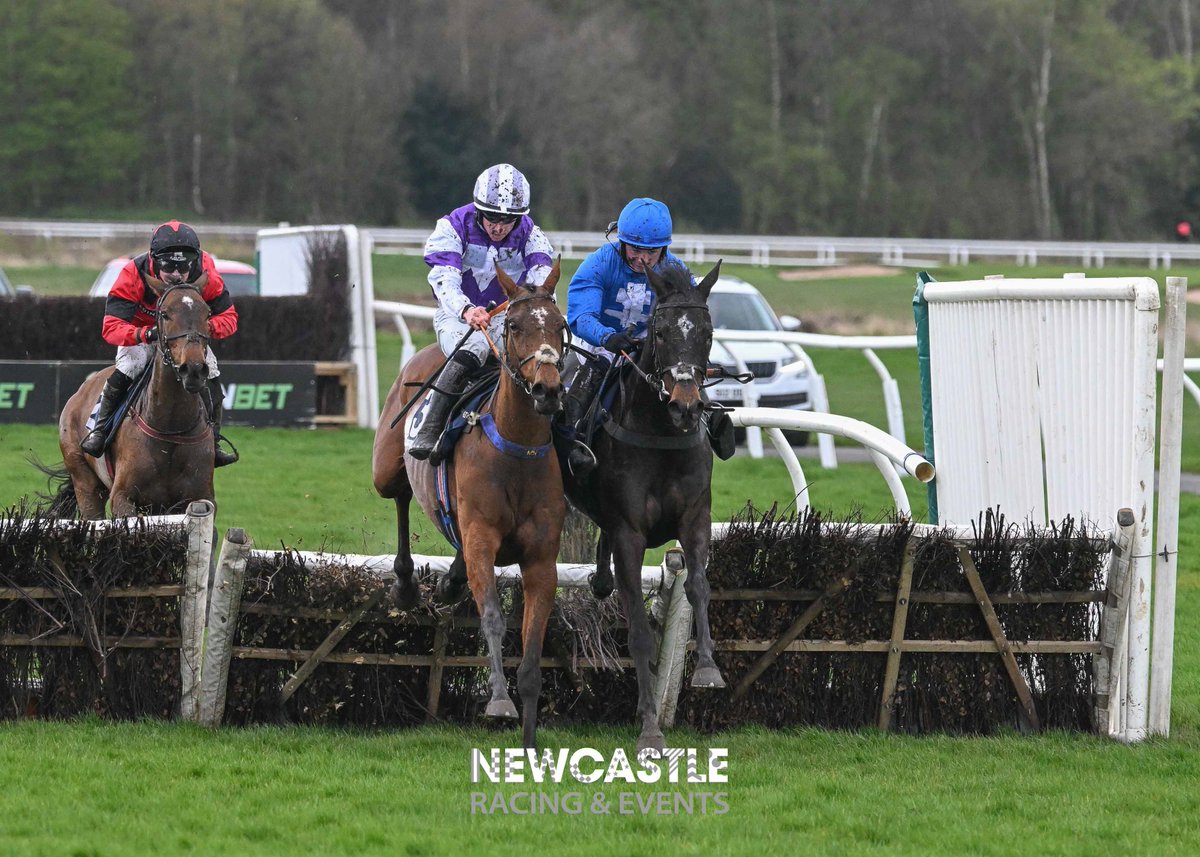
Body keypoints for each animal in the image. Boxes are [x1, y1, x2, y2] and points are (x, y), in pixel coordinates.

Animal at [369, 256, 566, 744]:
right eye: (513, 325)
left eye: (561, 326)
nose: (547, 390)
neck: (516, 448)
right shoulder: (482, 542)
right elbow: (492, 617)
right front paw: (498, 701)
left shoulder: (541, 558)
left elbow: (532, 641)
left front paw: (529, 735)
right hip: (386, 468)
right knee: (400, 498)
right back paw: (405, 584)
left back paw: (448, 581)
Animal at [566, 259, 724, 748]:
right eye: (661, 331)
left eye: (707, 332)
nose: (685, 405)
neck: (660, 434)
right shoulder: (629, 534)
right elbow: (637, 627)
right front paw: (650, 726)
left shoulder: (695, 518)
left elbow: (699, 586)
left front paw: (708, 670)